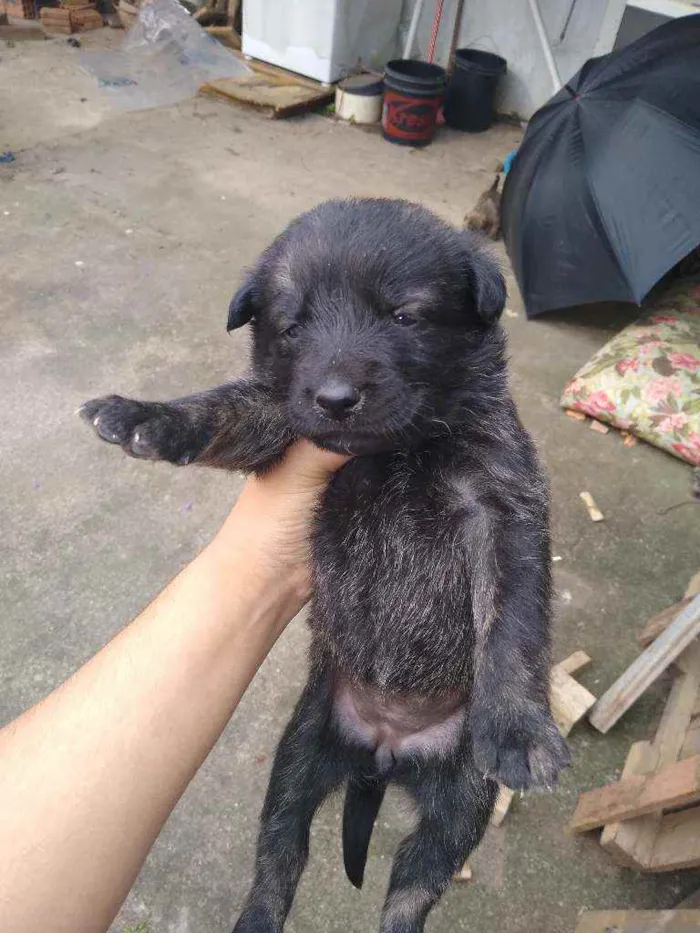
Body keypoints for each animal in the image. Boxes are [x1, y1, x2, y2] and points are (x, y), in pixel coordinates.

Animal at [80, 198, 568, 932]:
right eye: (292, 327)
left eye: (405, 316)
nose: (336, 397)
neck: (395, 452)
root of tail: (385, 753)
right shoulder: (284, 423)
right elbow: (232, 404)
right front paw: (150, 416)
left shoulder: (504, 504)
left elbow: (512, 623)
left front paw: (520, 727)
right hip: (300, 753)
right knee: (282, 851)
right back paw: (256, 917)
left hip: (461, 796)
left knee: (413, 882)